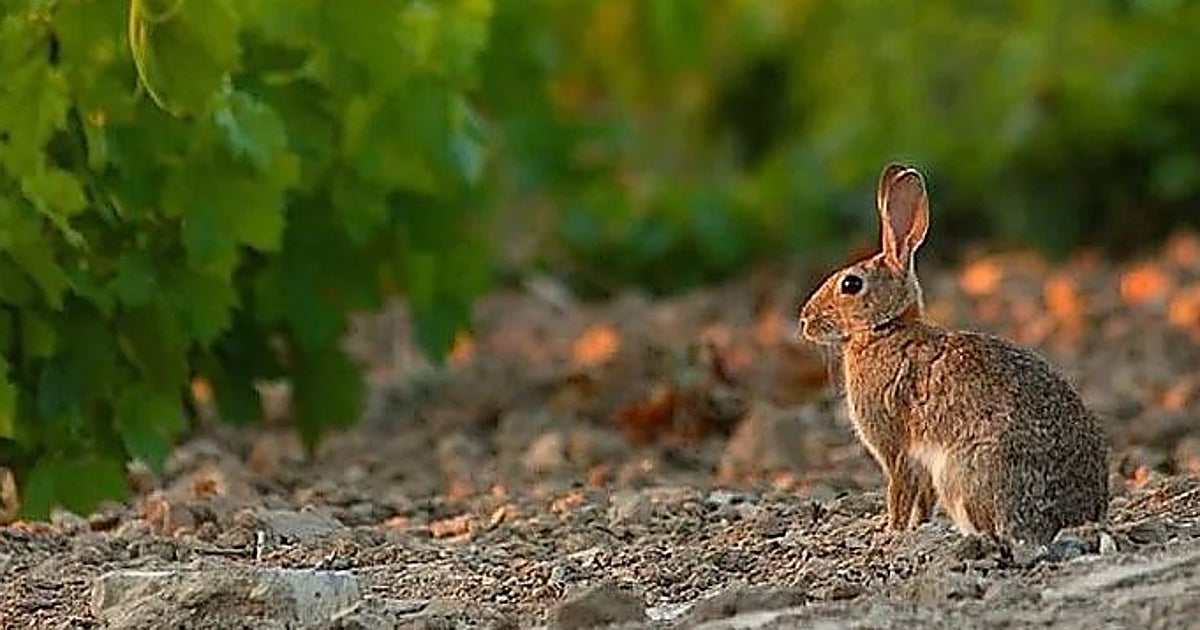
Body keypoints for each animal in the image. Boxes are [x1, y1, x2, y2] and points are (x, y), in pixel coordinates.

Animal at [796, 163, 1109, 545]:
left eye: (851, 284)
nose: (805, 321)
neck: (886, 329)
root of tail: (1076, 518)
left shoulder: (895, 448)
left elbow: (899, 492)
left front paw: (891, 532)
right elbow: (921, 499)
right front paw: (915, 528)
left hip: (961, 472)